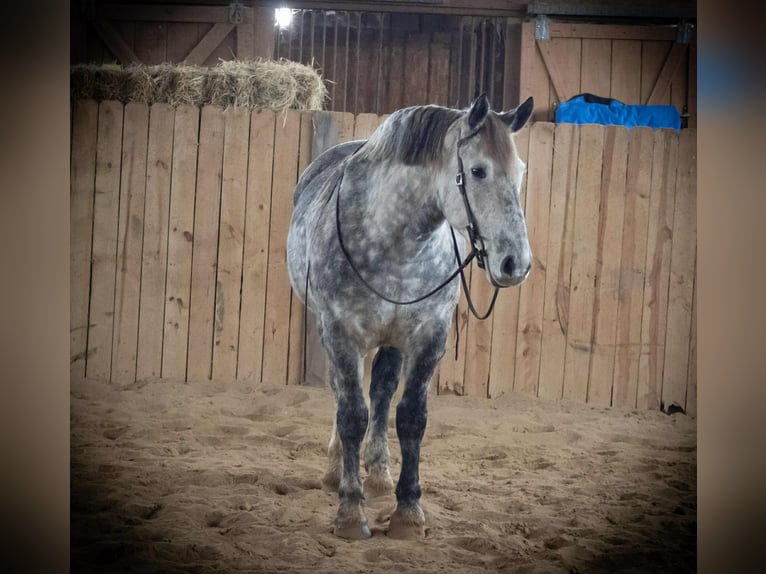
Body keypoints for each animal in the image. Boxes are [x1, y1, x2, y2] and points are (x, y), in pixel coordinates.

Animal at [286, 93, 534, 540]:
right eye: (478, 170)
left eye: (519, 172)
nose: (515, 263)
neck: (393, 241)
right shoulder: (341, 333)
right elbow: (351, 414)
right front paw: (351, 511)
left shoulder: (428, 337)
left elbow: (411, 417)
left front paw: (407, 511)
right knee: (343, 393)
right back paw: (336, 469)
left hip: (391, 341)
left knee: (382, 391)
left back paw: (379, 474)